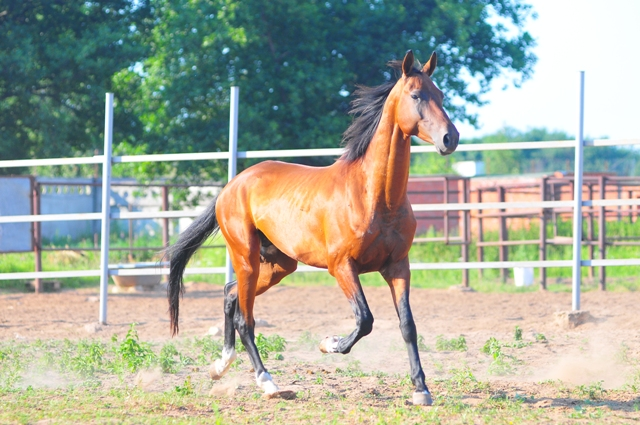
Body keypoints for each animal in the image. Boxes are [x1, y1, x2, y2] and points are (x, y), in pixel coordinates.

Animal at [169, 50, 460, 404]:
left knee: (229, 294)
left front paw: (421, 390)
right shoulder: (342, 267)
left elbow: (408, 325)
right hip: (247, 258)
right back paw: (267, 382)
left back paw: (220, 365)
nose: (450, 138)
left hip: (279, 265)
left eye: (441, 95)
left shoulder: (398, 266)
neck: (373, 196)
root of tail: (231, 186)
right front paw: (329, 343)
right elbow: (365, 319)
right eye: (416, 95)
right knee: (244, 318)